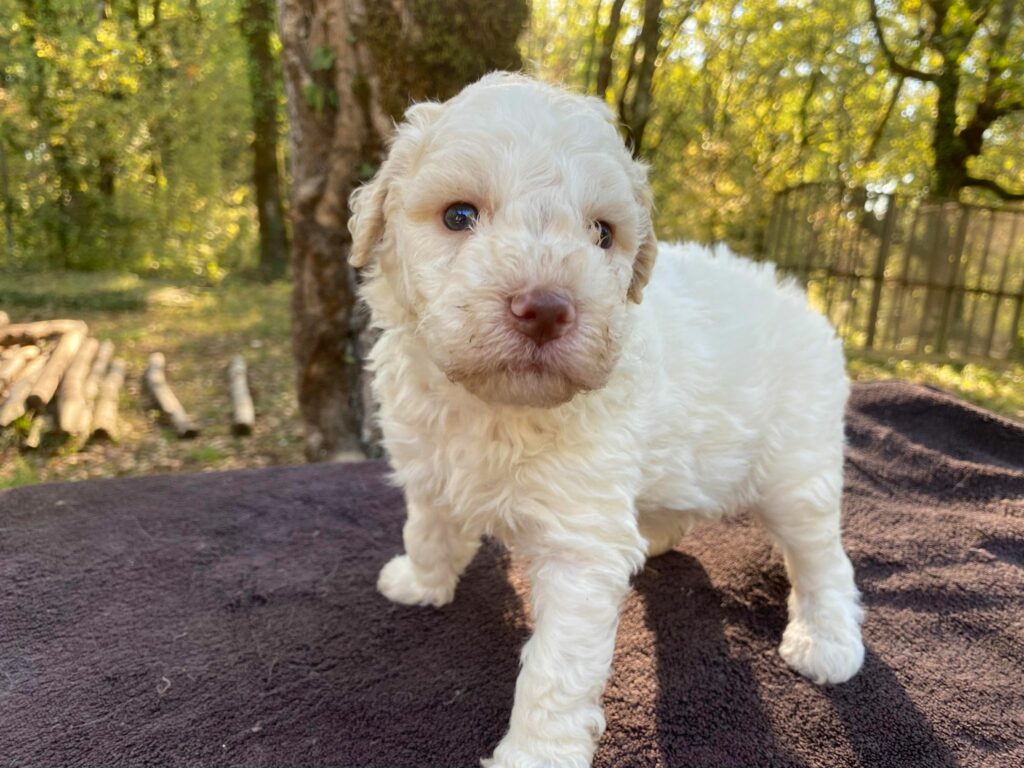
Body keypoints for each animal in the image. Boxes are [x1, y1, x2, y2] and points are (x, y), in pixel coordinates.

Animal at [352, 73, 864, 768]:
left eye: (602, 233)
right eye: (458, 216)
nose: (545, 308)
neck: (493, 408)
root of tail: (800, 299)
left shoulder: (580, 547)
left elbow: (555, 668)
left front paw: (535, 754)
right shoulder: (431, 463)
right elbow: (429, 528)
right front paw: (419, 581)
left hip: (798, 468)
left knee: (822, 559)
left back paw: (827, 640)